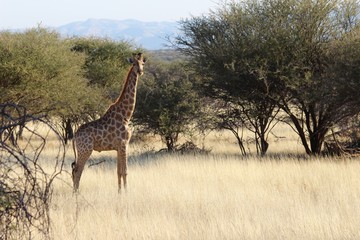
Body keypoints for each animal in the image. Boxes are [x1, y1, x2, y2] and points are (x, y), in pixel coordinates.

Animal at [71, 53, 146, 192]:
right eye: (134, 63)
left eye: (143, 63)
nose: (140, 71)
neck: (126, 115)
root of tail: (74, 136)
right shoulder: (124, 144)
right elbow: (125, 171)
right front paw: (127, 192)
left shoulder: (118, 147)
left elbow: (118, 172)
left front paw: (120, 192)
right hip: (85, 150)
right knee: (78, 171)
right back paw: (76, 193)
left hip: (81, 151)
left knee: (74, 170)